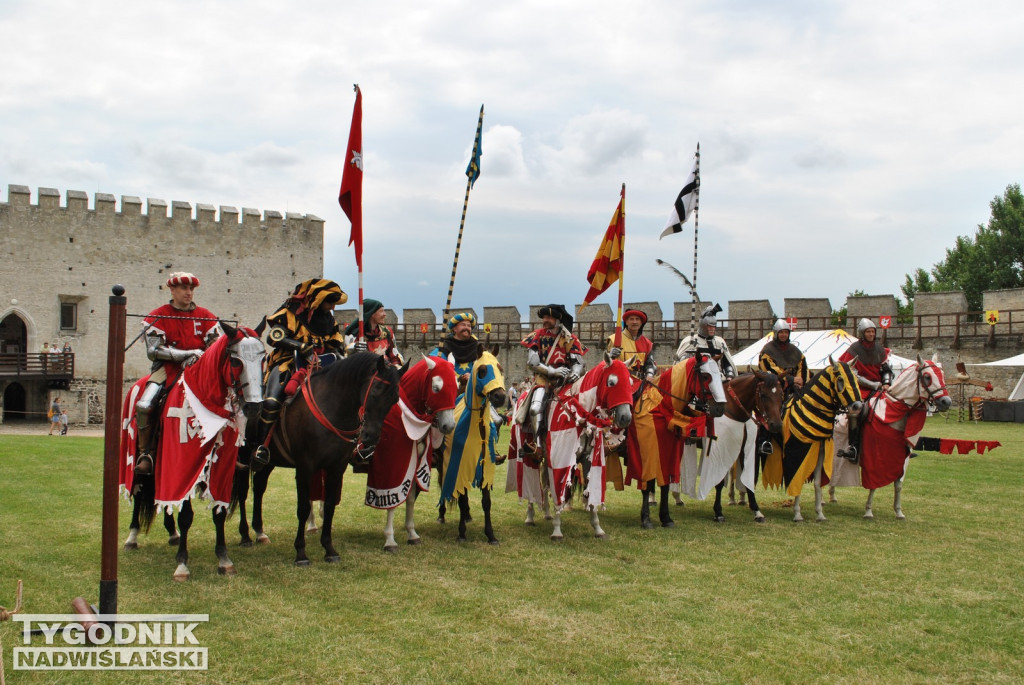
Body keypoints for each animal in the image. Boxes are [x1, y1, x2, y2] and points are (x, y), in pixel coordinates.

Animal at [234, 350, 401, 565]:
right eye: (374, 392)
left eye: (394, 399)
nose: (370, 438)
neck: (332, 406)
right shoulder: (305, 467)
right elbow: (304, 507)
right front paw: (301, 553)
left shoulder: (336, 468)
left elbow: (329, 506)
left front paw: (329, 549)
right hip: (243, 456)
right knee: (242, 491)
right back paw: (245, 535)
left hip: (269, 461)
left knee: (260, 487)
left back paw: (260, 532)